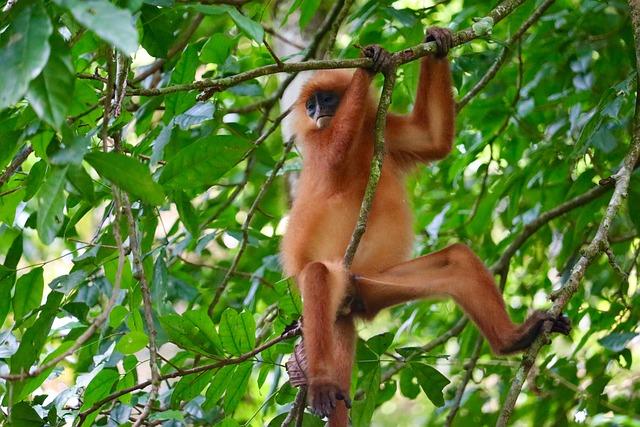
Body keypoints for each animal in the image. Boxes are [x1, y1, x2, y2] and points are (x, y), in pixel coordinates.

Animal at [280, 27, 570, 425]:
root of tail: (348, 304)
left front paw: (437, 40)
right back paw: (322, 381)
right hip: (340, 280)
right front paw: (370, 66)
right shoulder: (321, 146)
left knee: (458, 260)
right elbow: (338, 152)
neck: (363, 136)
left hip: (371, 286)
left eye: (325, 99)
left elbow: (432, 140)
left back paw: (515, 339)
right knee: (318, 276)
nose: (316, 111)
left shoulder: (384, 131)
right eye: (311, 105)